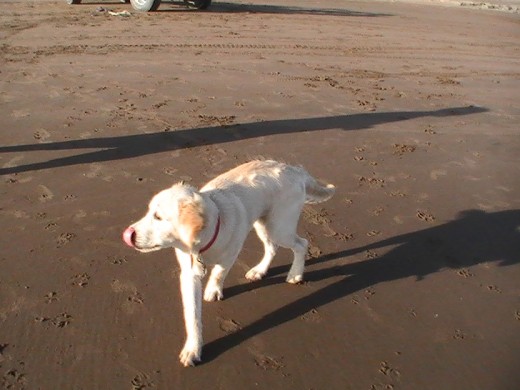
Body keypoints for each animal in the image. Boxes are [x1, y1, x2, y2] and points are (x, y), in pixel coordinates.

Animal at [122, 158, 336, 366]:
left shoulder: (231, 254)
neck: (203, 244)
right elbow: (192, 315)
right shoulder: (189, 274)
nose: (127, 234)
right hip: (264, 225)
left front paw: (213, 290)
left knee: (301, 244)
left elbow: (219, 273)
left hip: (279, 227)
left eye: (158, 217)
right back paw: (260, 270)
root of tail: (294, 169)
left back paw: (295, 274)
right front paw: (193, 349)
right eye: (149, 212)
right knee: (272, 248)